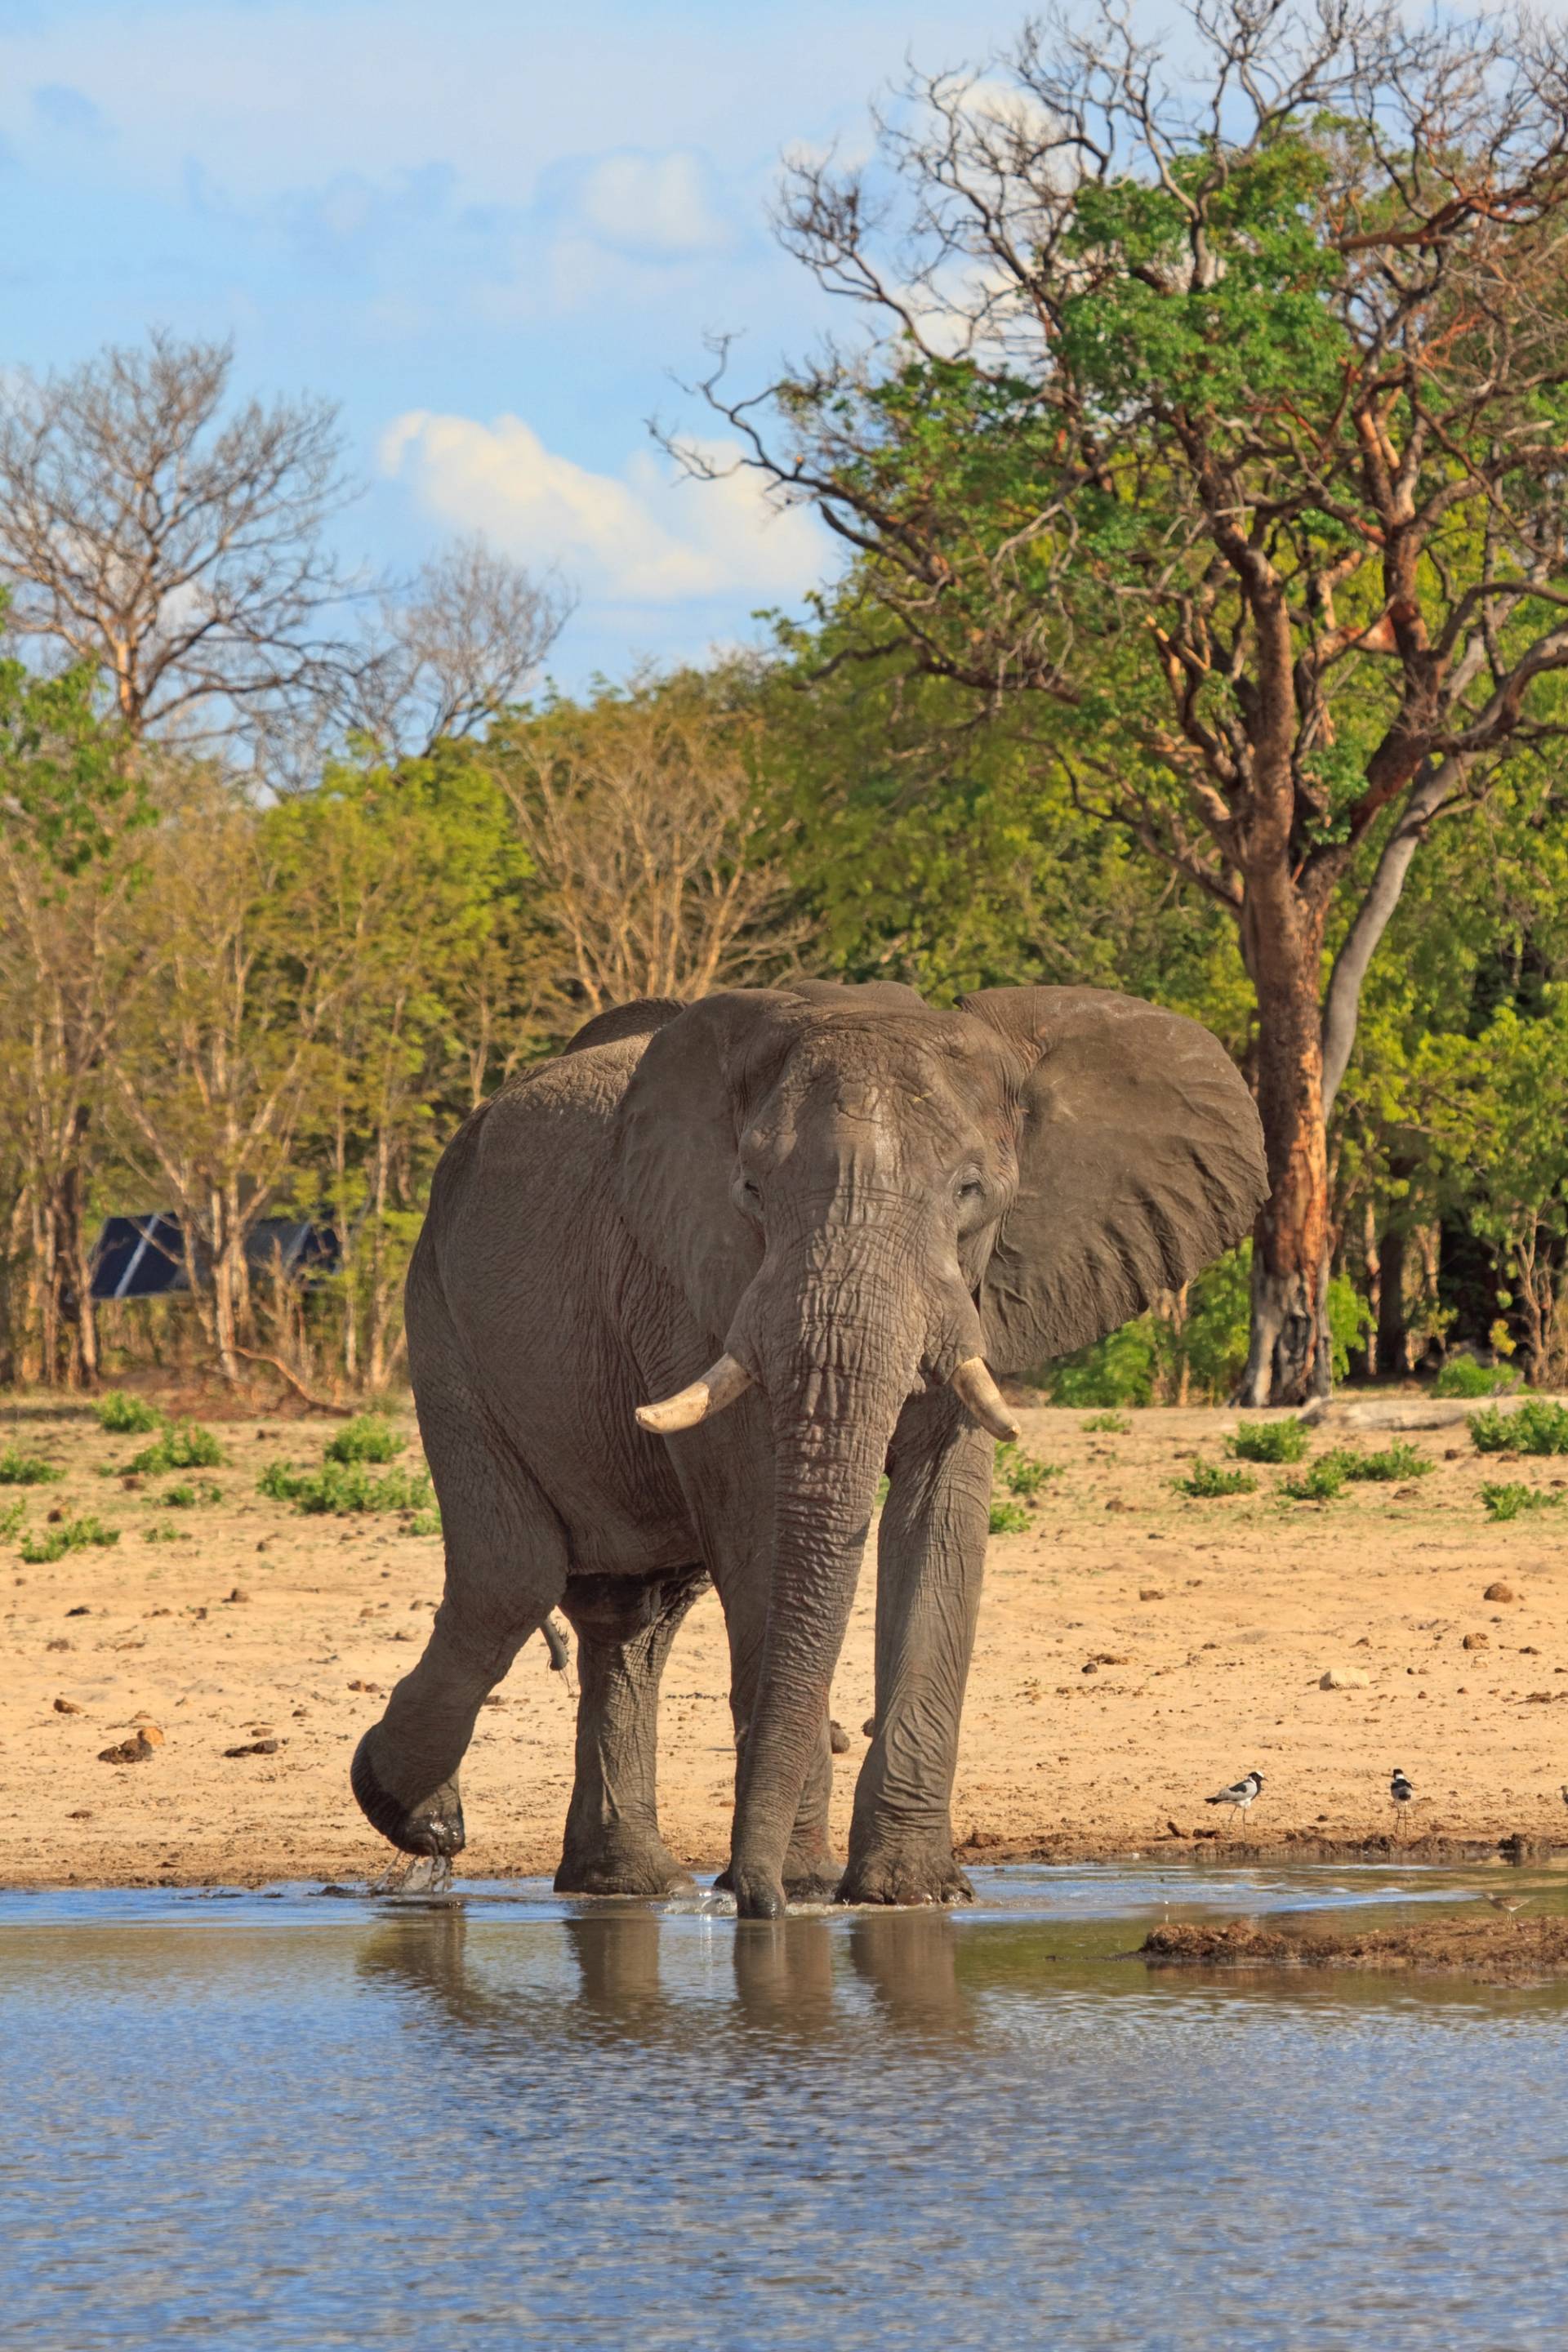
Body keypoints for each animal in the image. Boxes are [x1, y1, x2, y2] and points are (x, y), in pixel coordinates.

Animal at [351, 979, 1266, 1918]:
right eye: (751, 1189)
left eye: (971, 1190)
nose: (745, 1896)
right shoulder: (692, 1283)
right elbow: (758, 1523)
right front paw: (806, 1887)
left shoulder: (974, 1298)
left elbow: (941, 1520)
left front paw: (910, 1893)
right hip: (440, 1312)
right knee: (514, 1577)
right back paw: (416, 1818)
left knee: (633, 1616)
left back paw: (626, 1884)